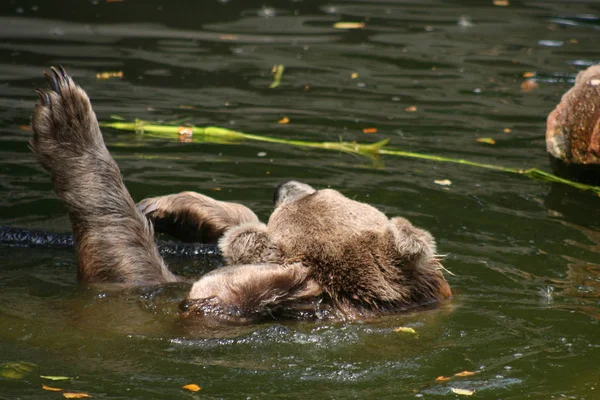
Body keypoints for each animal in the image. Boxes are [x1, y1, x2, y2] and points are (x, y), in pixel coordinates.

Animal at [29, 67, 450, 326]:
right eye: (324, 189)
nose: (285, 186)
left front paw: (67, 118)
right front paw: (176, 210)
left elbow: (124, 264)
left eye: (291, 205)